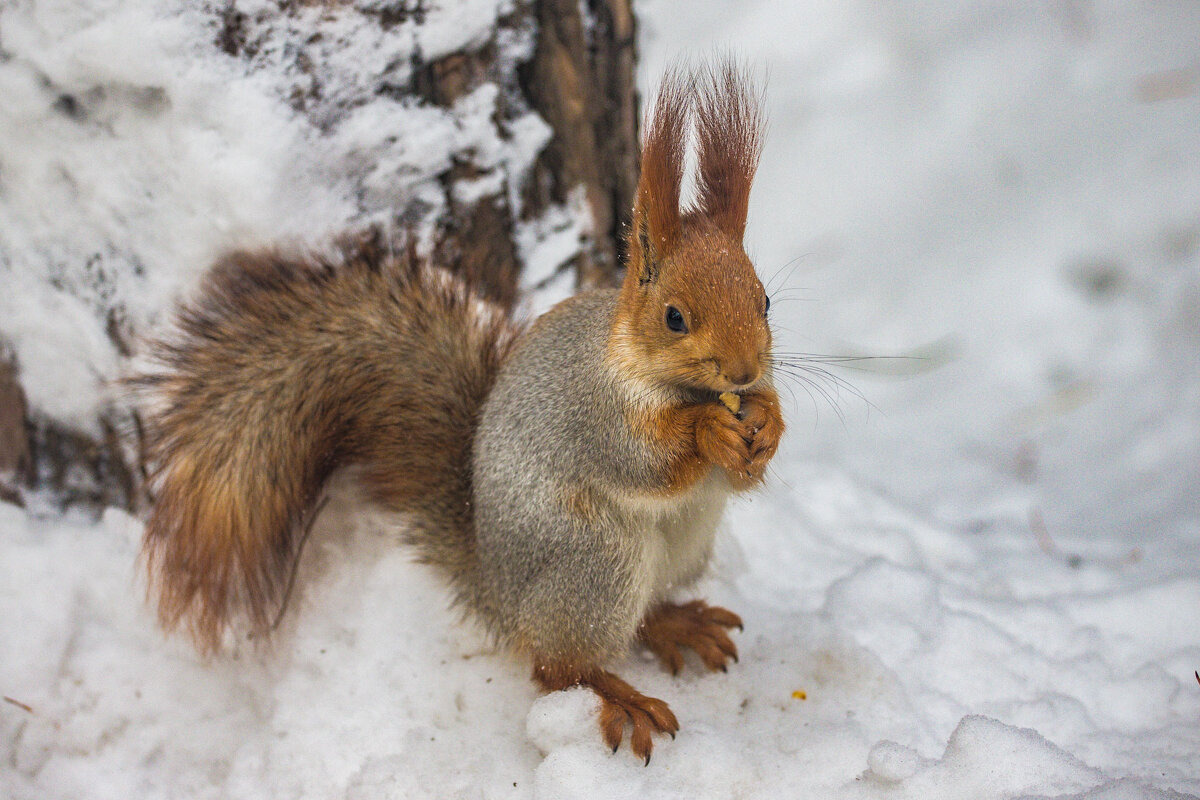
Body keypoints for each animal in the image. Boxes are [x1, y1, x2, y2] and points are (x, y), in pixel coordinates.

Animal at [140, 61, 782, 762]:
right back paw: (620, 697)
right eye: (674, 318)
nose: (744, 372)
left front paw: (767, 423)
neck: (663, 378)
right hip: (594, 562)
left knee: (633, 620)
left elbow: (742, 473)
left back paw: (677, 623)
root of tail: (499, 596)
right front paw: (709, 429)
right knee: (556, 666)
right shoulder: (594, 414)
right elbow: (647, 462)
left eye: (764, 300)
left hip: (682, 548)